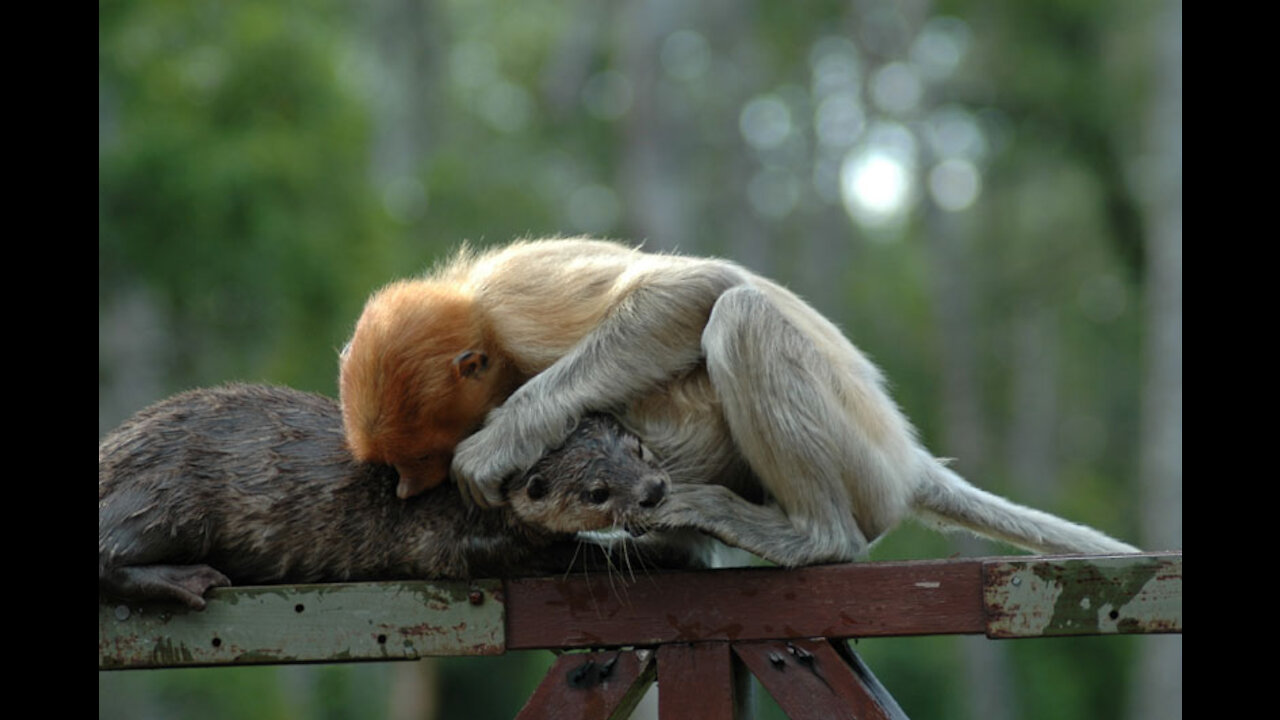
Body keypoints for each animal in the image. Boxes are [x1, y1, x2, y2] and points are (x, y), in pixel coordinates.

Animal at [98, 381, 701, 604]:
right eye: (598, 491)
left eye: (638, 450)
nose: (653, 490)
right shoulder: (442, 539)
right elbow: (548, 553)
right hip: (166, 497)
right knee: (108, 554)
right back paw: (185, 580)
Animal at [340, 238, 1141, 563]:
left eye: (431, 456)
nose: (412, 488)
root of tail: (904, 460)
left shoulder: (516, 300)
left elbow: (699, 288)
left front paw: (501, 441)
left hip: (857, 462)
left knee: (740, 315)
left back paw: (814, 538)